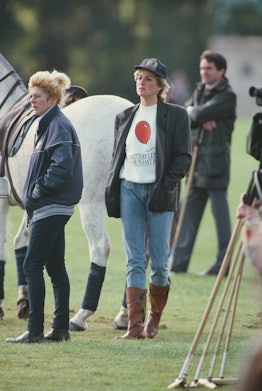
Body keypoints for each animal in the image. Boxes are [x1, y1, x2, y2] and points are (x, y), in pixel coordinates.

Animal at [0, 54, 132, 328]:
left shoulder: (2, 197)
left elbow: (3, 247)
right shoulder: (33, 199)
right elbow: (22, 242)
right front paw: (24, 300)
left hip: (91, 203)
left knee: (101, 248)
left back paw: (81, 315)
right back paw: (124, 315)